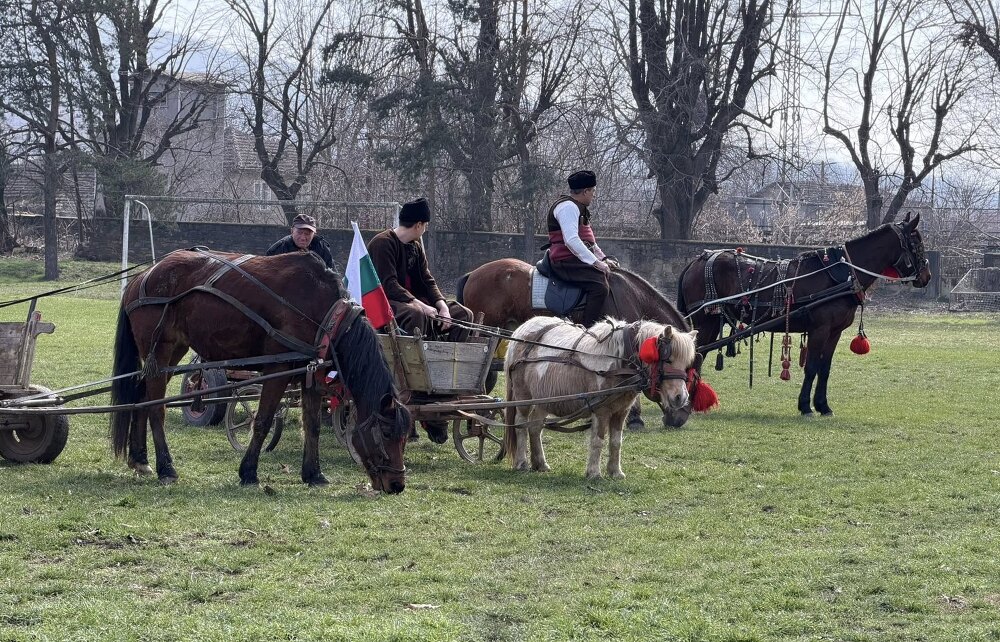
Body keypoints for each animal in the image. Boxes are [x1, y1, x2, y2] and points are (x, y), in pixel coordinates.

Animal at [110, 249, 412, 493]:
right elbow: (263, 421)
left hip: (170, 355)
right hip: (161, 352)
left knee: (142, 399)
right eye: (386, 433)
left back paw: (140, 459)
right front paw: (249, 472)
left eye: (405, 435)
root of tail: (142, 276)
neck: (321, 311)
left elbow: (312, 424)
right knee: (156, 409)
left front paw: (313, 474)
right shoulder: (278, 368)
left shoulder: (310, 374)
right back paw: (166, 468)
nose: (397, 484)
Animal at [502, 316, 698, 479]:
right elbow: (598, 440)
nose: (681, 397)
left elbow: (616, 442)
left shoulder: (621, 411)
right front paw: (594, 473)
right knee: (521, 425)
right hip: (523, 397)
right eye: (668, 360)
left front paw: (615, 472)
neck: (618, 362)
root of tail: (521, 329)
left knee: (535, 427)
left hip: (544, 401)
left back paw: (540, 463)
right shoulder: (601, 411)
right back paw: (522, 463)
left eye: (686, 364)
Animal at [676, 213, 931, 417]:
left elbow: (824, 369)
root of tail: (694, 262)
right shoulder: (820, 329)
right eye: (917, 242)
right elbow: (811, 368)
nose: (926, 276)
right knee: (696, 355)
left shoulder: (834, 332)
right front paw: (806, 406)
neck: (843, 273)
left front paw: (823, 406)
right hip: (705, 321)